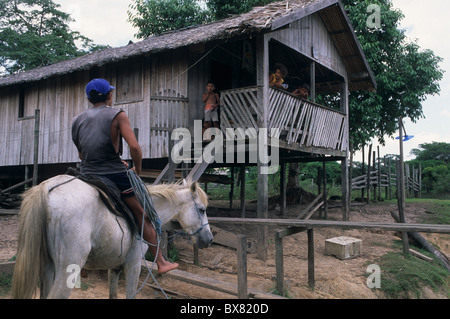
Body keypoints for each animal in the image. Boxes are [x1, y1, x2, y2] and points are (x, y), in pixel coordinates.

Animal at [11, 174, 213, 298]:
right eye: (202, 210)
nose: (209, 239)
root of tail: (47, 188)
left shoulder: (114, 268)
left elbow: (113, 294)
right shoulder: (133, 266)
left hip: (47, 268)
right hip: (67, 271)